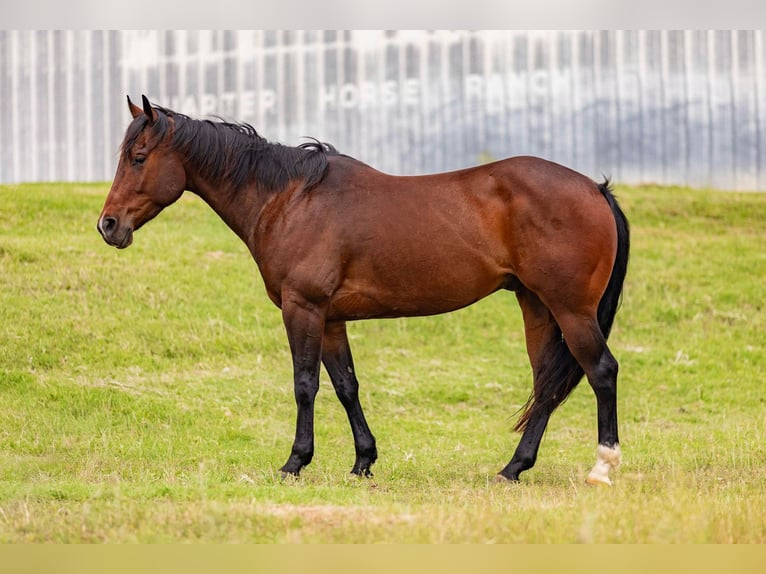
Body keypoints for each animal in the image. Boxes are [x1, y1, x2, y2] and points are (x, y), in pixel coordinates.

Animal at [98, 95, 630, 485]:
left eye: (138, 158)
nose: (108, 225)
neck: (290, 199)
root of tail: (594, 189)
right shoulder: (331, 318)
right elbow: (346, 385)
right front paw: (363, 461)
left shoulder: (303, 309)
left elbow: (305, 385)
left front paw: (295, 462)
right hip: (536, 307)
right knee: (546, 386)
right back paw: (513, 468)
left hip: (570, 310)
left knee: (601, 371)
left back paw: (601, 468)